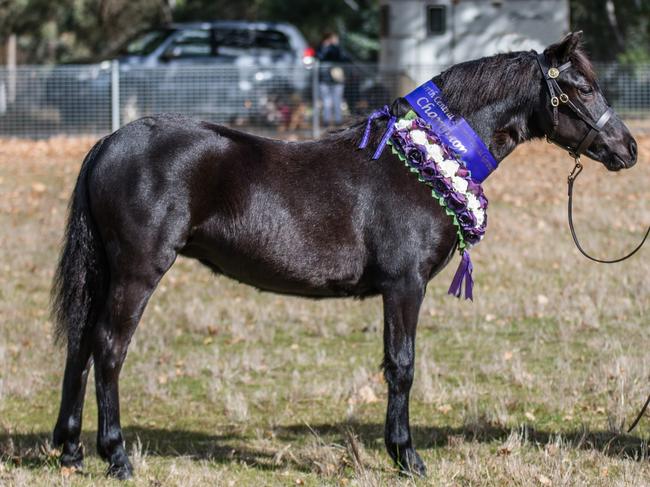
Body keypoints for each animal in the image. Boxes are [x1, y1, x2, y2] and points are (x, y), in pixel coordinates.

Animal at [52, 32, 636, 478]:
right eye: (582, 87)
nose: (628, 148)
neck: (422, 161)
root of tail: (108, 143)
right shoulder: (404, 286)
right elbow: (402, 365)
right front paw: (406, 458)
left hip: (106, 273)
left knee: (80, 346)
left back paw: (72, 450)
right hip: (136, 272)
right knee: (108, 348)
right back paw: (116, 456)